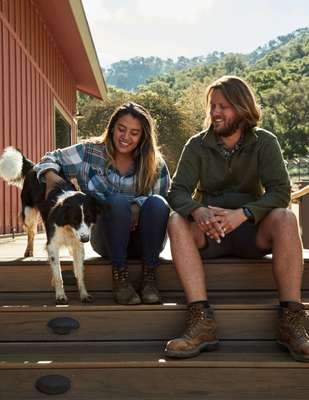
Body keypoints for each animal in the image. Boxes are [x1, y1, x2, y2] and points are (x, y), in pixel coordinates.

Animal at [0, 147, 108, 304]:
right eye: (74, 219)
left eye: (88, 219)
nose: (85, 239)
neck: (67, 226)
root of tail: (34, 166)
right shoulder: (53, 245)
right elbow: (58, 275)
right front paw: (60, 296)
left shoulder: (78, 246)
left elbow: (80, 274)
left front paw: (84, 294)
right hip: (29, 212)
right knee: (31, 232)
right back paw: (29, 251)